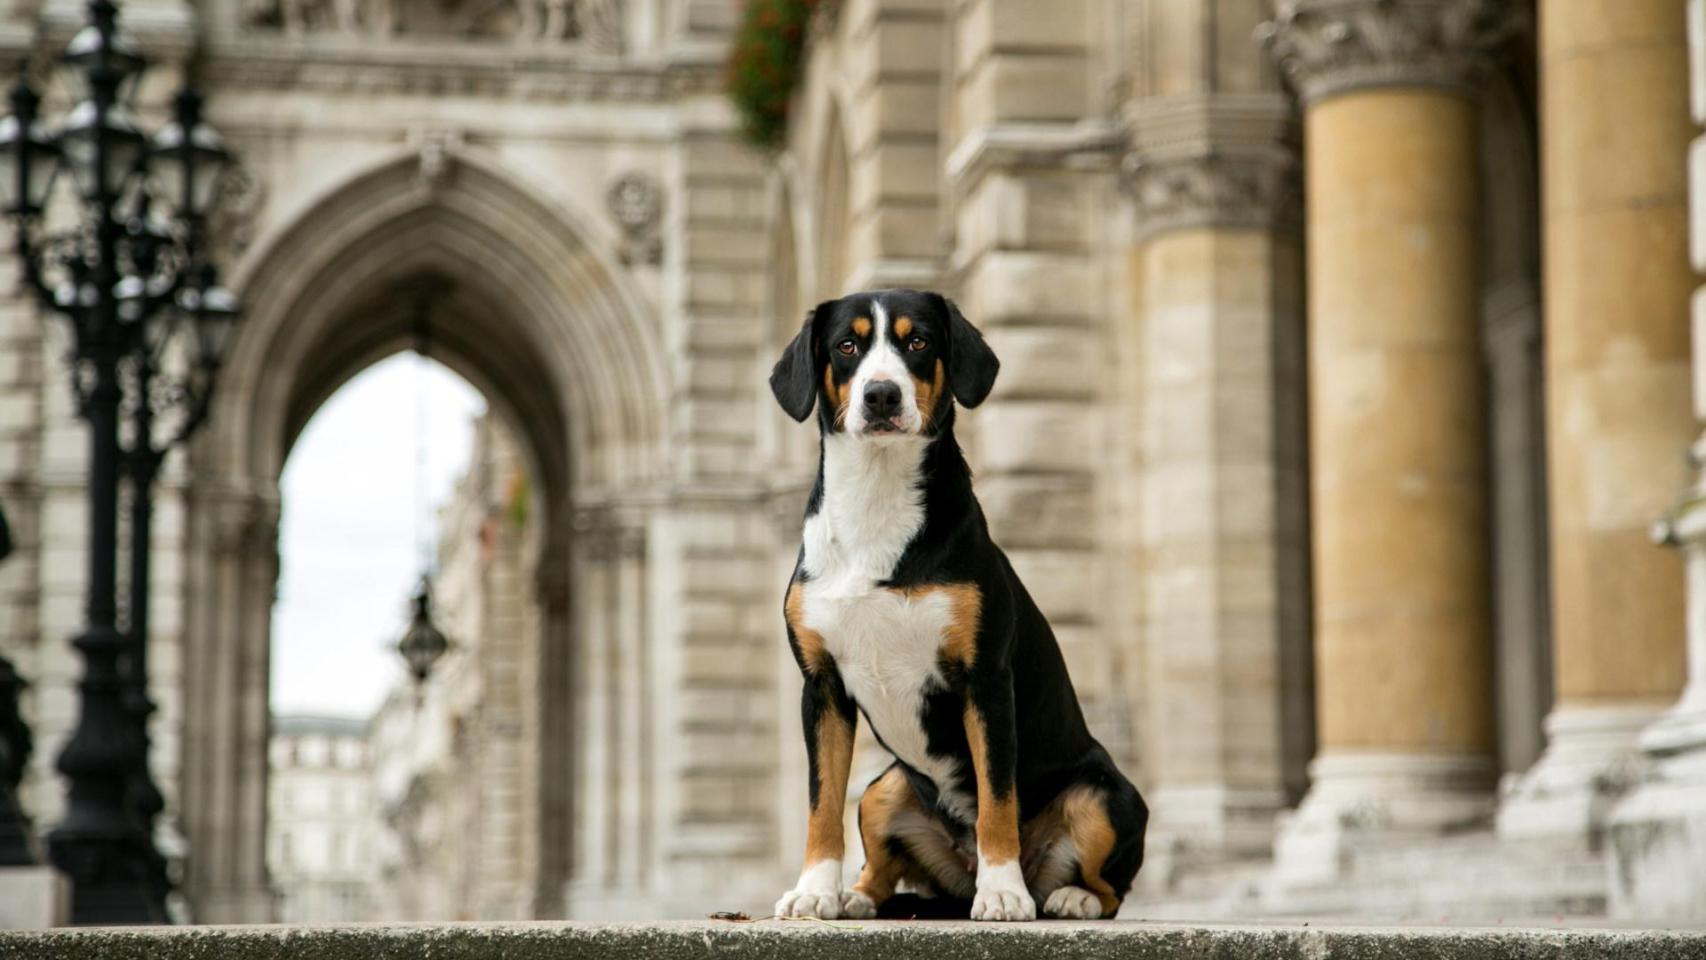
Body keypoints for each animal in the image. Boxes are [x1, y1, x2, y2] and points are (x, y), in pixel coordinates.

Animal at [771, 289, 1146, 920]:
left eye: (918, 341)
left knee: (1109, 886)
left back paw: (1064, 896)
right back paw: (854, 897)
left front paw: (1002, 894)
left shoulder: (984, 680)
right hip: (885, 788)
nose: (881, 395)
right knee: (880, 867)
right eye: (846, 345)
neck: (876, 501)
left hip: (1105, 796)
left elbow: (997, 799)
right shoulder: (821, 688)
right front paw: (814, 891)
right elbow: (822, 803)